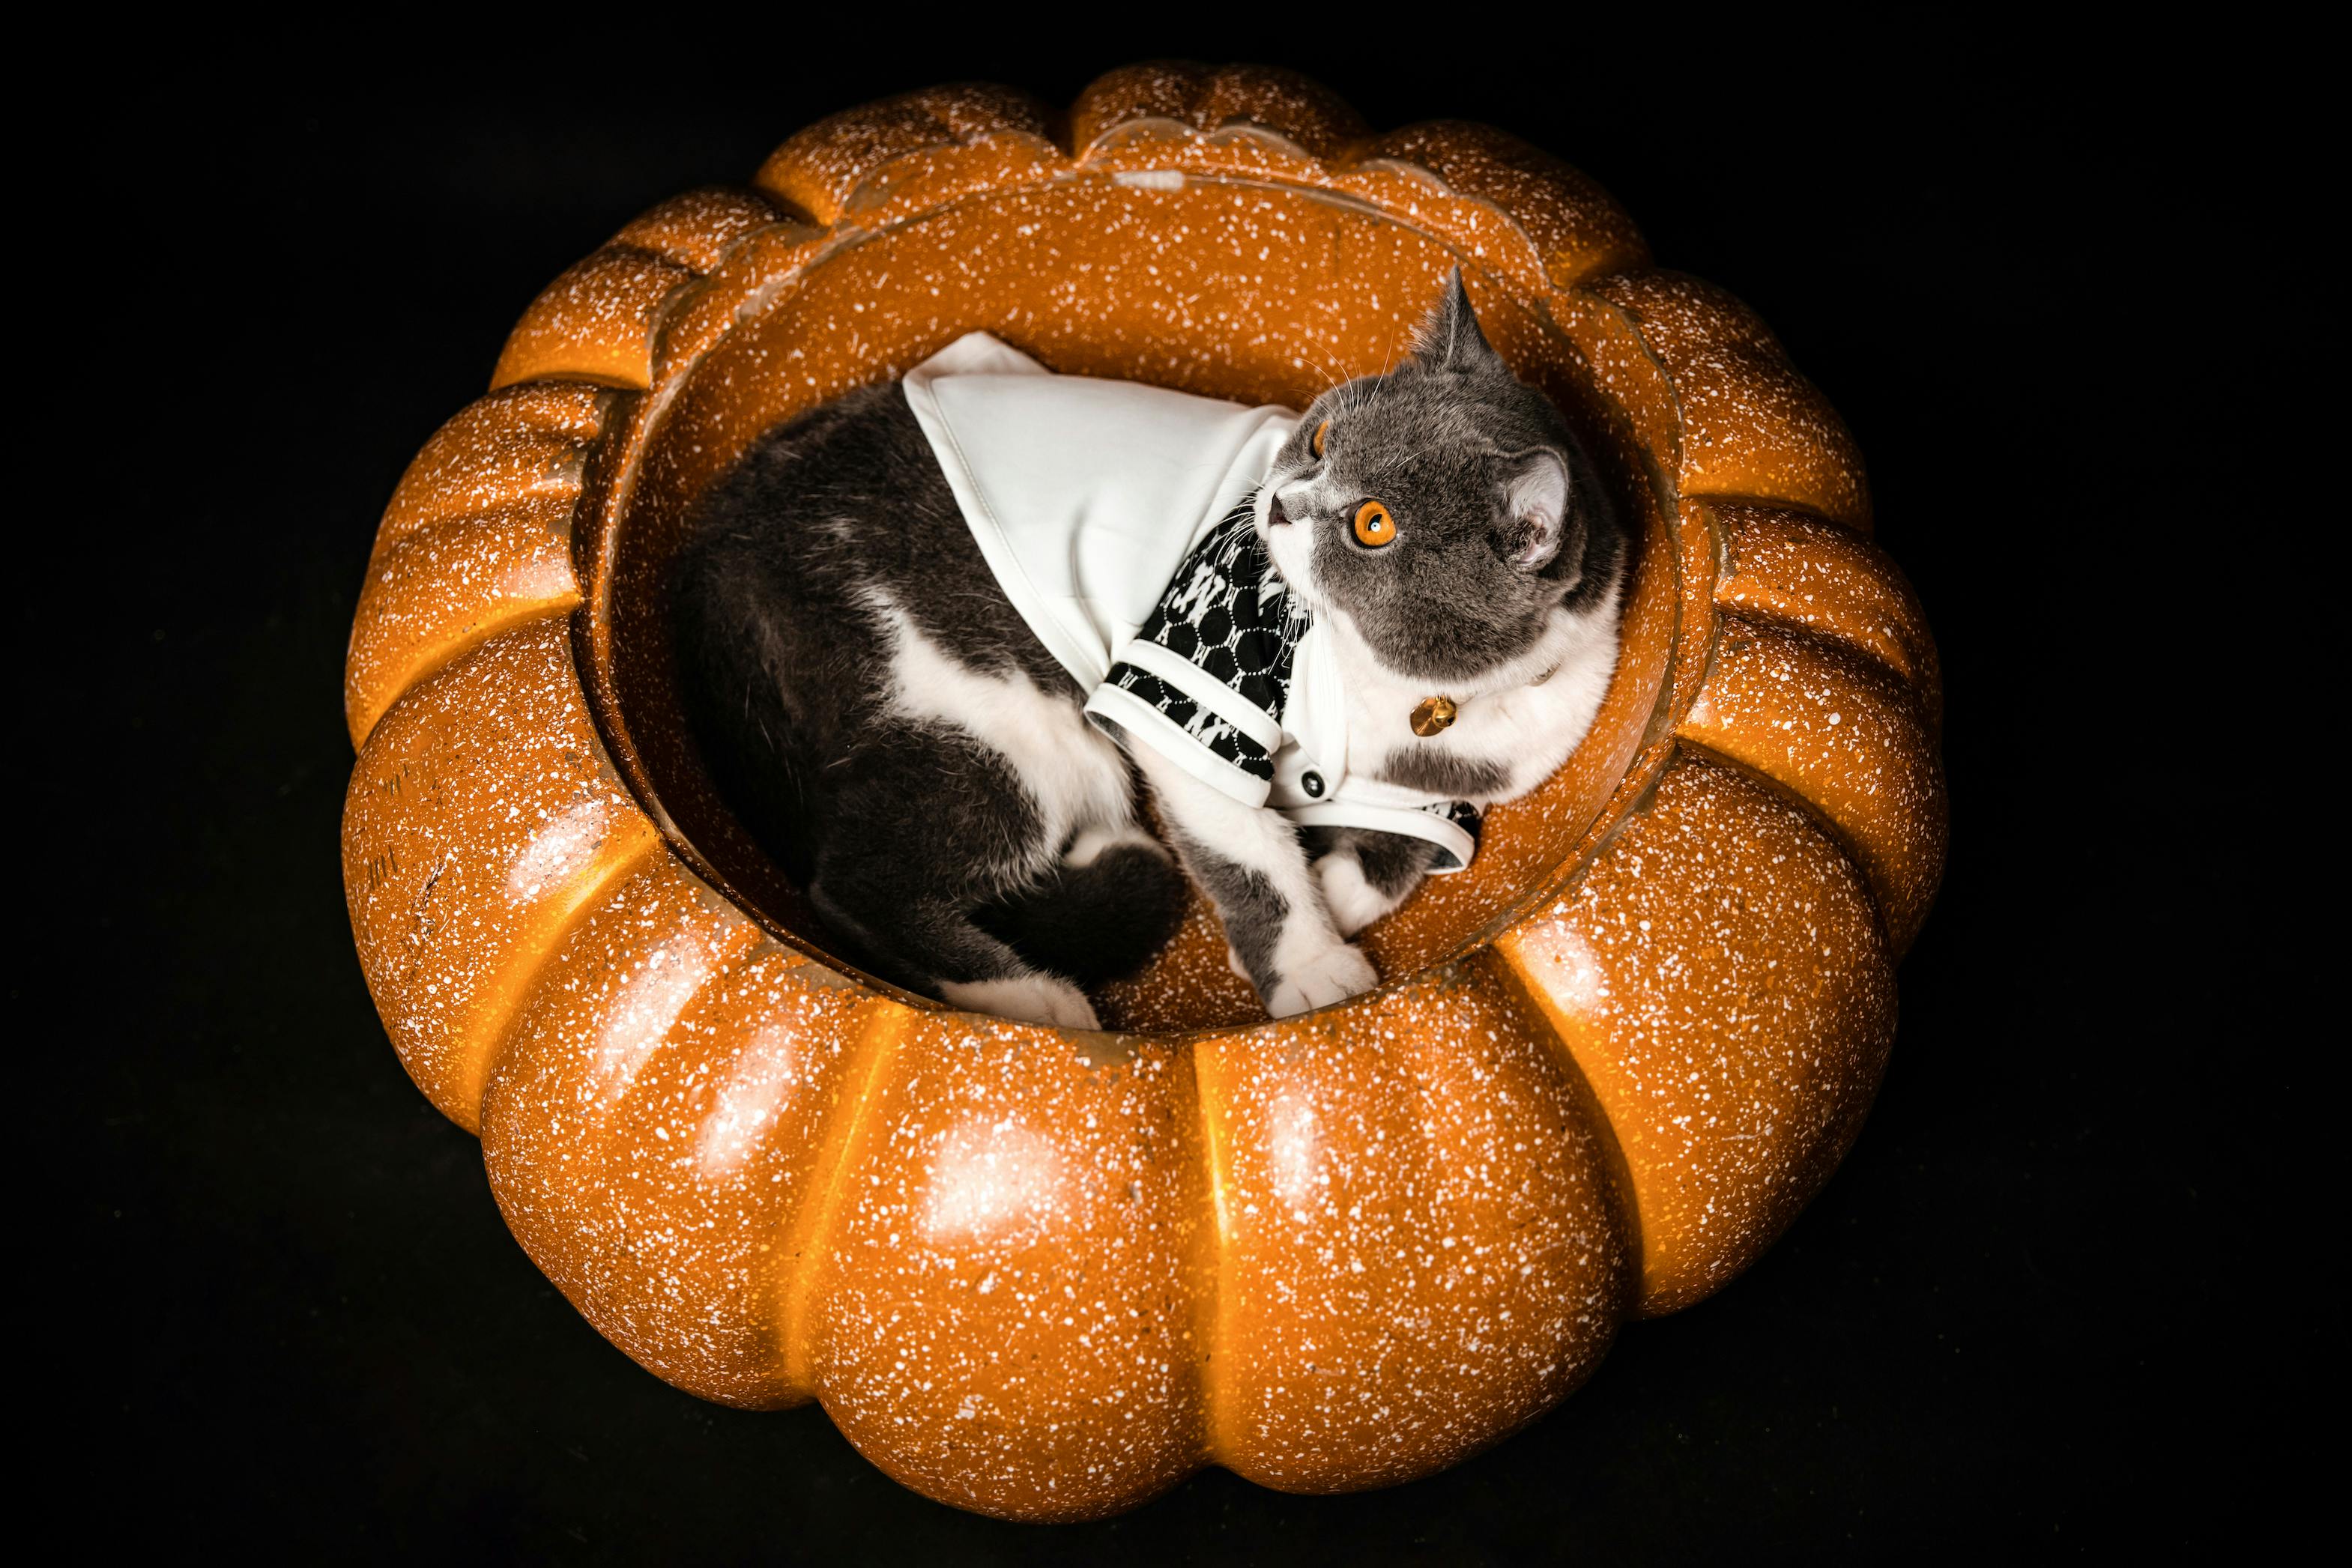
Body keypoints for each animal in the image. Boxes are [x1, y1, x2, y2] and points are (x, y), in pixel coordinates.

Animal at [663, 270, 1618, 1029]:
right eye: (1316, 440)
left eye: (1373, 522)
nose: (1279, 500)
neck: (1397, 685)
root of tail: (718, 548)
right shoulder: (1187, 693)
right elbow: (1246, 849)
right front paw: (1308, 962)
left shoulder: (1459, 776)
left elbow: (1402, 854)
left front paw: (1338, 893)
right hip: (1000, 718)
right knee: (853, 884)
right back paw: (1033, 994)